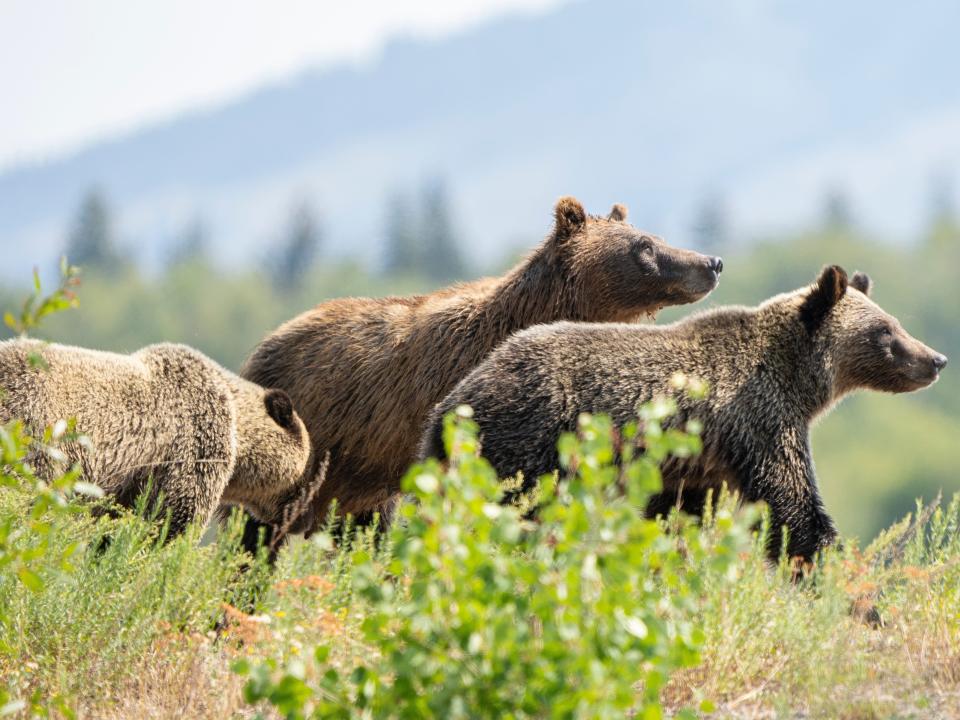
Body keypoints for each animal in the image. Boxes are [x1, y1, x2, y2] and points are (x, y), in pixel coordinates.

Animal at [0, 340, 314, 536]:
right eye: (308, 469)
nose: (301, 516)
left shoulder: (127, 485)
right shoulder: (193, 442)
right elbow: (176, 518)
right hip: (34, 434)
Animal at [424, 266, 948, 564]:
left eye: (895, 322)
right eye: (885, 332)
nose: (936, 359)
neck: (798, 380)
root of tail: (450, 403)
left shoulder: (696, 463)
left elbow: (678, 516)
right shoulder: (759, 421)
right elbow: (791, 510)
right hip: (528, 442)